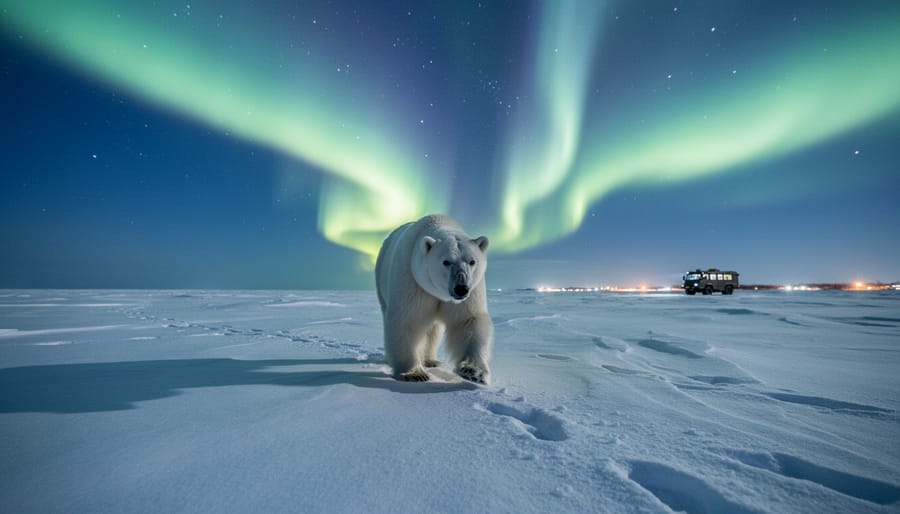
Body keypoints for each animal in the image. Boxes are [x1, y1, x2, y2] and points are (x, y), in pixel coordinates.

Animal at [375, 214, 494, 384]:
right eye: (446, 261)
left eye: (472, 261)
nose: (461, 288)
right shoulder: (412, 281)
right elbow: (406, 320)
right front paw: (414, 374)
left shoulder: (472, 291)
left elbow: (467, 320)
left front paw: (473, 371)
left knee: (434, 329)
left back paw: (430, 360)